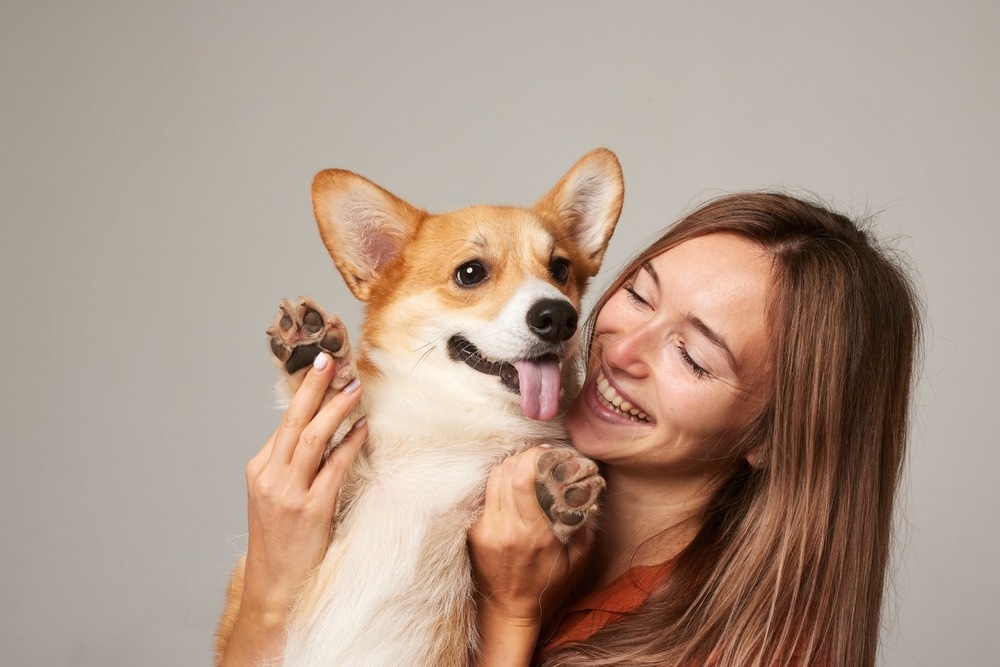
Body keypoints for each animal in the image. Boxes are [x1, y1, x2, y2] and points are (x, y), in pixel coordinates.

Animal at [220, 149, 624, 664]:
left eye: (560, 269)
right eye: (470, 272)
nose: (558, 317)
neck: (458, 420)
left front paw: (554, 490)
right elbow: (341, 428)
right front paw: (316, 364)